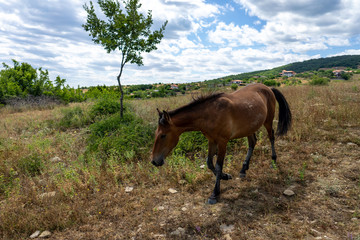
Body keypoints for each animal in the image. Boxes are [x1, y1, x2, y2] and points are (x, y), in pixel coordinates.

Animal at [150, 83, 292, 204]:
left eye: (163, 135)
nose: (154, 161)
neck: (210, 114)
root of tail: (268, 88)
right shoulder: (212, 141)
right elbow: (209, 163)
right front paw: (225, 176)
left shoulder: (223, 142)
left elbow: (218, 165)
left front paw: (215, 193)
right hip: (249, 127)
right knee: (252, 143)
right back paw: (244, 169)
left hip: (268, 121)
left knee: (271, 137)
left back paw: (273, 161)